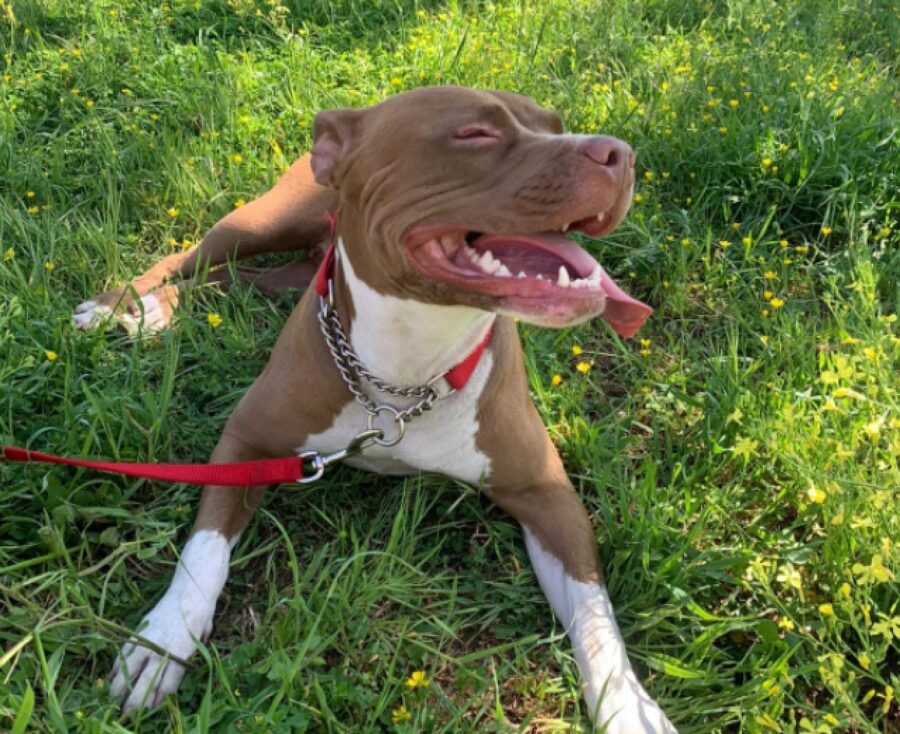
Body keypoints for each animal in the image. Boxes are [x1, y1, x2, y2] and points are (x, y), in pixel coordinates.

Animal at [79, 87, 676, 734]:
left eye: (556, 124)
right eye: (474, 133)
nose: (619, 153)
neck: (403, 374)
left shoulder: (545, 492)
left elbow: (594, 611)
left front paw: (627, 704)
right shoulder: (246, 442)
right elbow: (205, 550)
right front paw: (163, 639)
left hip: (281, 270)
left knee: (229, 280)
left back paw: (157, 309)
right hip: (261, 221)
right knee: (187, 258)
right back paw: (121, 307)